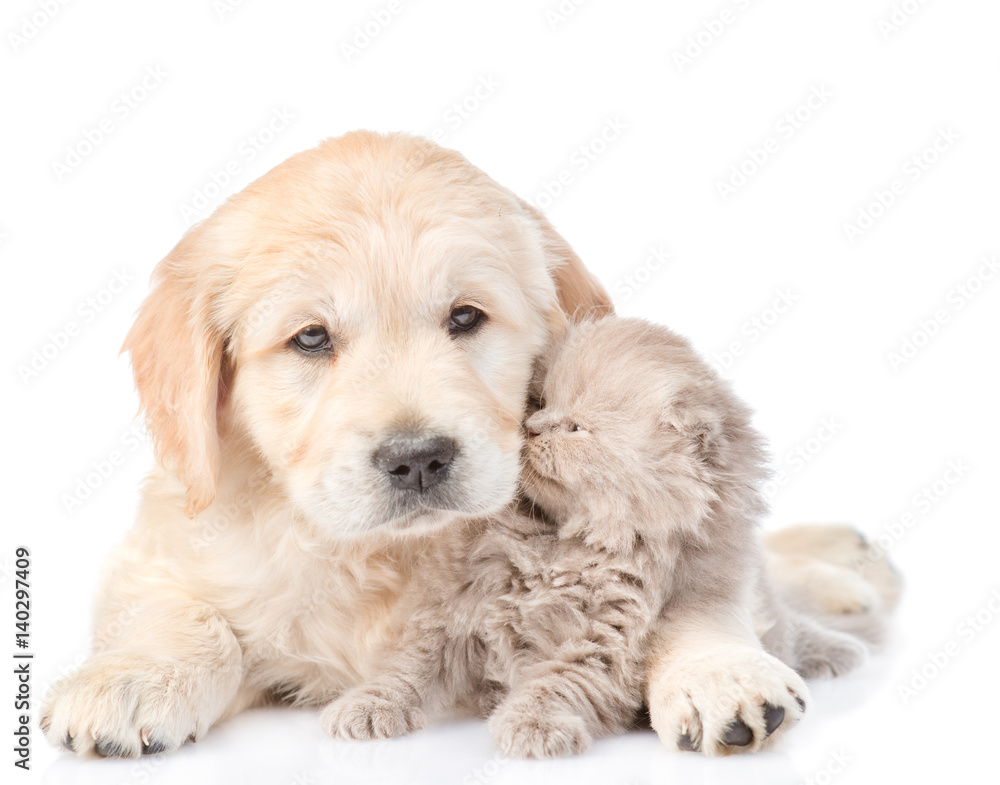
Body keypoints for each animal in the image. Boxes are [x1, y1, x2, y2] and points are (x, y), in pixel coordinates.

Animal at [322, 316, 876, 756]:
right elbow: (406, 670)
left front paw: (532, 726)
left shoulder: (601, 639)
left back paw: (838, 643)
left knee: (783, 621)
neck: (554, 542)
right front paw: (366, 708)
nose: (531, 427)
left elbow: (555, 686)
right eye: (539, 402)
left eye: (574, 428)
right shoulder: (451, 616)